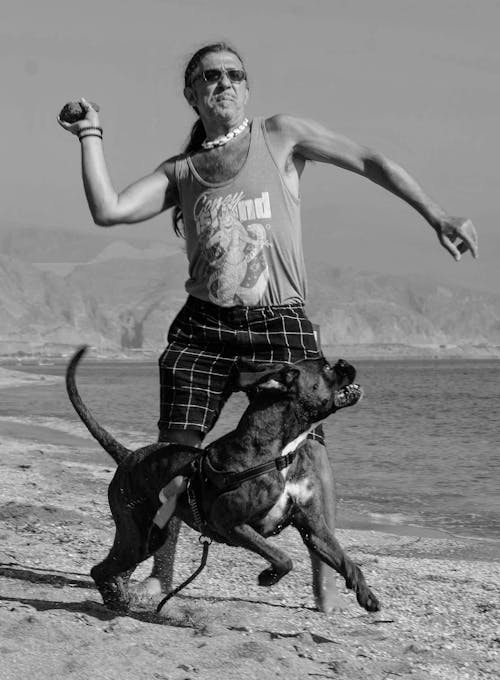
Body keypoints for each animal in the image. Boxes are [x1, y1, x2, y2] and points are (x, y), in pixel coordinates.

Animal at [65, 348, 378, 612]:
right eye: (325, 366)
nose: (346, 362)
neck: (280, 453)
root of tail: (129, 455)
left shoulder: (313, 528)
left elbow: (346, 560)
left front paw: (367, 595)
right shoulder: (232, 524)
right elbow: (282, 558)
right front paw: (268, 576)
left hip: (146, 538)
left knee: (114, 570)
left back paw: (119, 598)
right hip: (138, 535)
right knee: (100, 570)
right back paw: (117, 601)